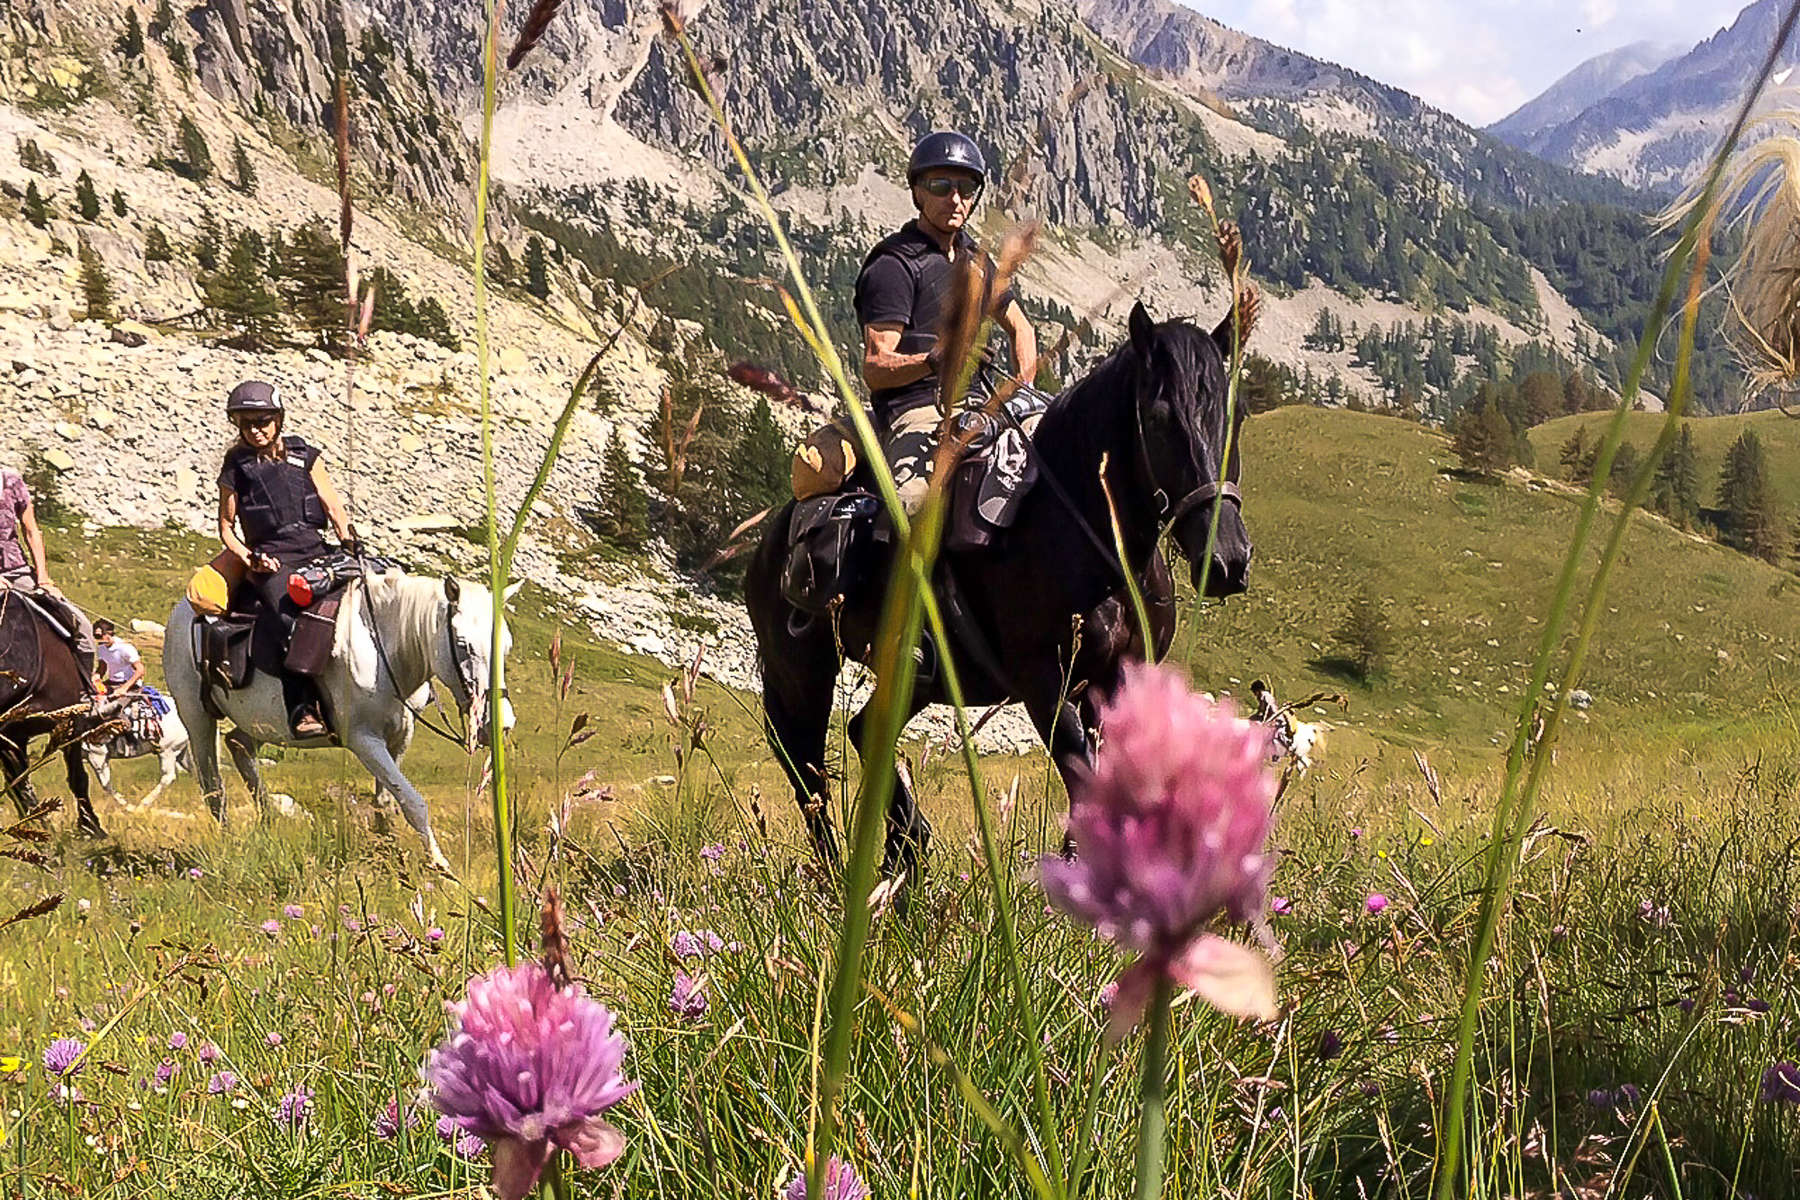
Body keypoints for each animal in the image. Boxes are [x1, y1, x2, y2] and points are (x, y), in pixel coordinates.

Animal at [163, 572, 514, 874]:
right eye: (464, 644)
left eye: (507, 645)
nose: (500, 722)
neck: (384, 649)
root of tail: (182, 612)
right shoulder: (364, 740)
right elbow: (413, 802)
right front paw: (440, 866)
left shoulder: (401, 735)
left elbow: (387, 799)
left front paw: (389, 852)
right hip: (197, 718)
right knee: (213, 785)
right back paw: (231, 841)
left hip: (265, 723)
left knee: (238, 744)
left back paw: (270, 818)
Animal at [745, 300, 1252, 877]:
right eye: (1163, 418)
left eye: (1236, 416)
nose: (1227, 560)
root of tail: (772, 537)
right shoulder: (1042, 682)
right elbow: (1081, 773)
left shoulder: (1118, 678)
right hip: (800, 676)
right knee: (807, 771)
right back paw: (845, 872)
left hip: (914, 680)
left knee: (863, 731)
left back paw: (906, 852)